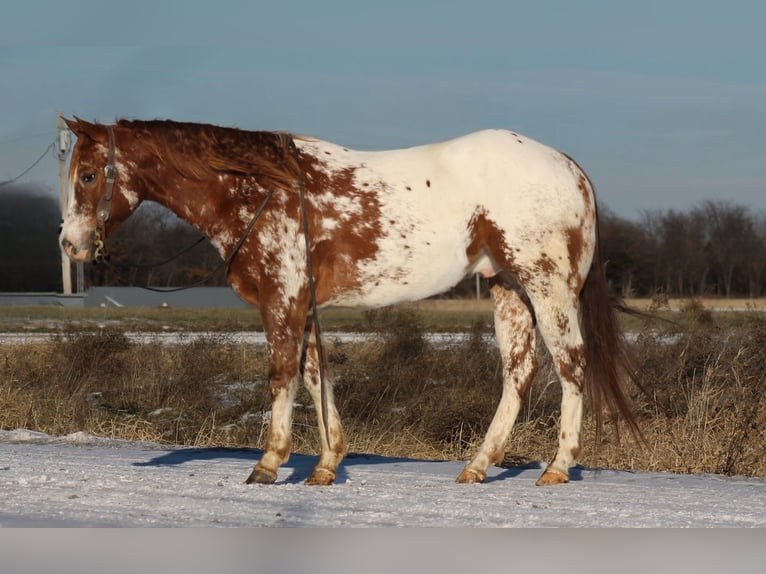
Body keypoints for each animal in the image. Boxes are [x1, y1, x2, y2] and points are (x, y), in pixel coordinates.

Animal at [60, 117, 639, 486]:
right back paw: (477, 466)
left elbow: (282, 376)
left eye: (88, 175)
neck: (261, 189)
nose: (69, 244)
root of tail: (568, 167)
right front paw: (326, 465)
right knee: (518, 374)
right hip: (509, 289)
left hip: (548, 287)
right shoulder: (303, 304)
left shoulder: (282, 299)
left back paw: (557, 467)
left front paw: (269, 463)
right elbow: (317, 376)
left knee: (571, 365)